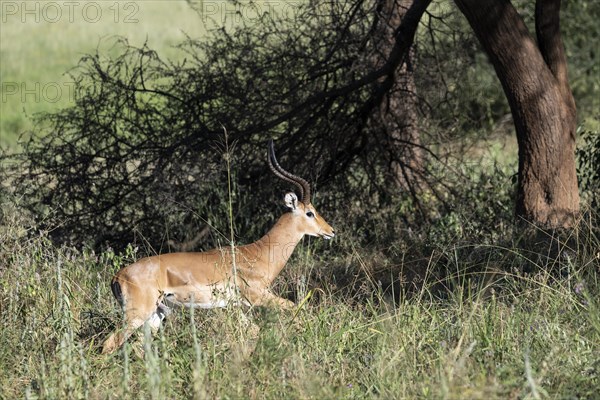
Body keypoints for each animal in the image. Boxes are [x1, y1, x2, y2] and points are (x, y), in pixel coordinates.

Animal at [101, 139, 336, 354]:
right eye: (310, 212)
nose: (331, 231)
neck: (258, 253)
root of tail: (118, 275)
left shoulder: (234, 306)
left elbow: (255, 330)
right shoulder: (257, 297)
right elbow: (295, 308)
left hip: (156, 314)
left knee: (139, 347)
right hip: (137, 314)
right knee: (109, 343)